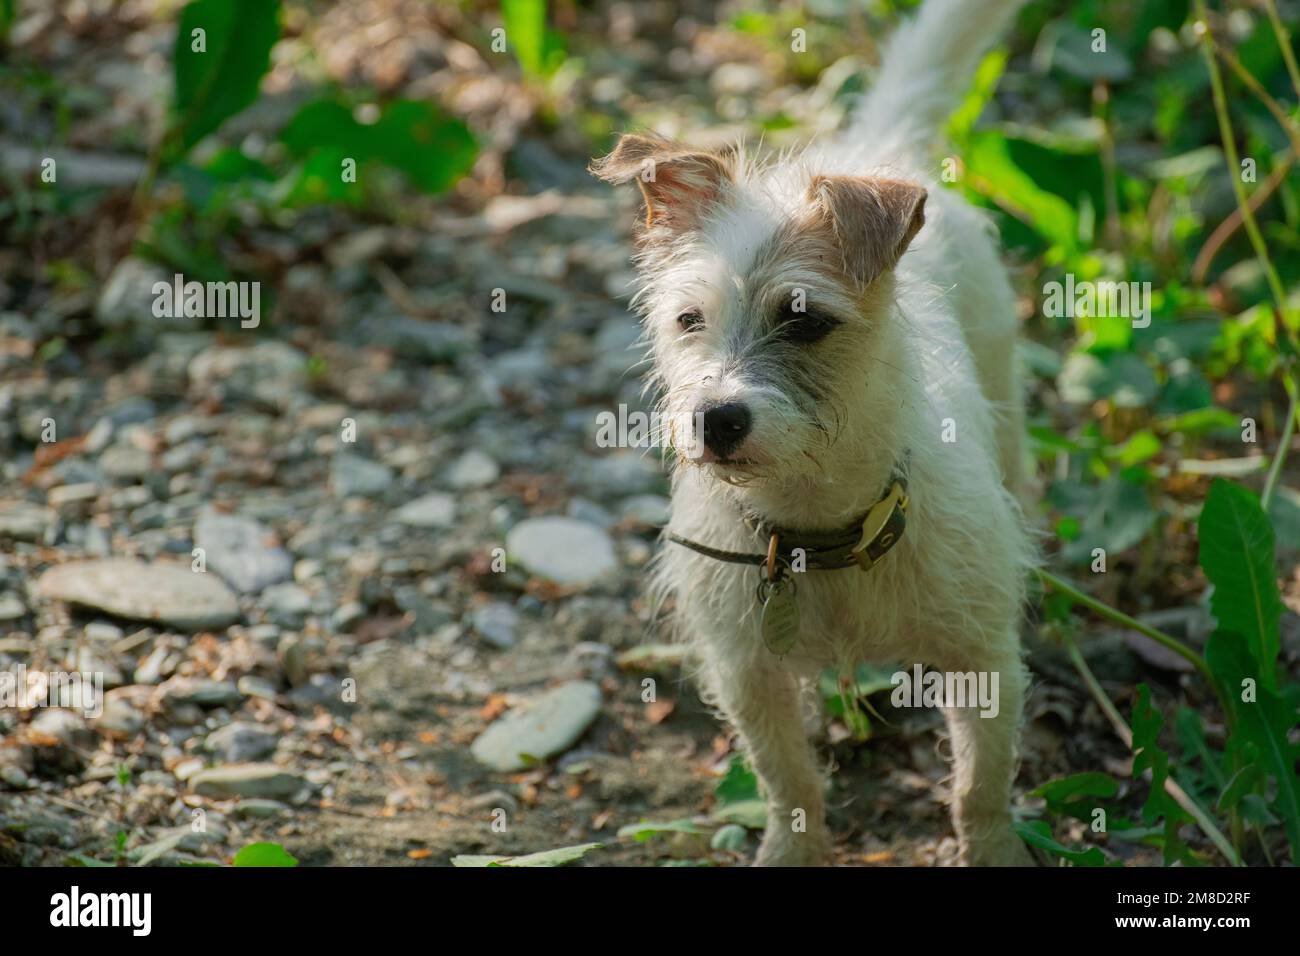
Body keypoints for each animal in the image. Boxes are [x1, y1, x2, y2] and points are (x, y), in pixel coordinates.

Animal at [595, 0, 1034, 868]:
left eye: (804, 321)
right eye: (688, 320)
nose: (715, 418)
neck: (817, 527)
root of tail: (874, 147)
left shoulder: (983, 663)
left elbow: (979, 788)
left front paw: (993, 849)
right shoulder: (747, 675)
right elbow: (788, 781)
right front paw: (791, 850)